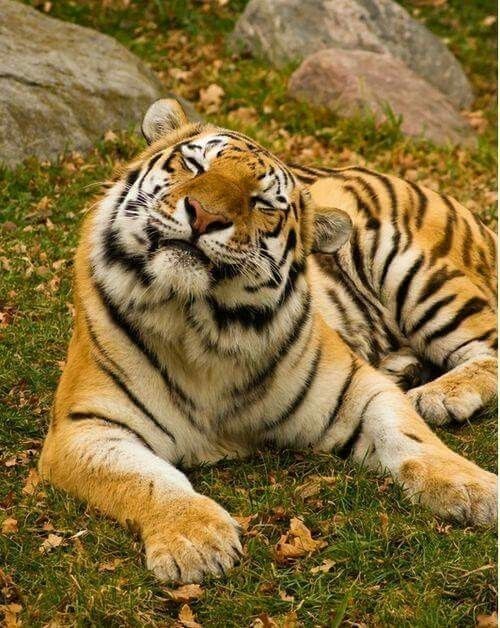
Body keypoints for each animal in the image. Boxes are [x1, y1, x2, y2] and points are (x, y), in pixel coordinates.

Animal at [39, 98, 496, 584]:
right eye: (194, 164)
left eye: (262, 203)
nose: (203, 214)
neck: (201, 325)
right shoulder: (85, 427)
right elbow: (146, 480)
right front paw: (195, 539)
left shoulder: (358, 389)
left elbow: (412, 439)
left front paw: (476, 489)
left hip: (414, 271)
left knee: (488, 347)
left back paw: (438, 395)